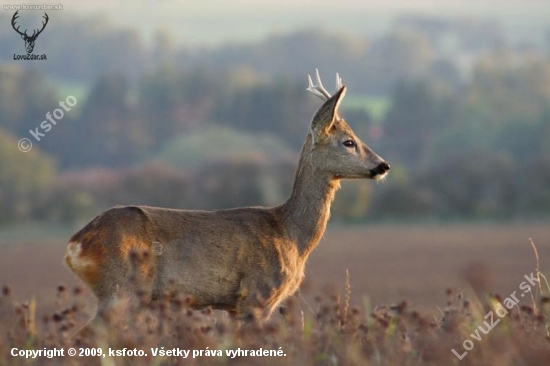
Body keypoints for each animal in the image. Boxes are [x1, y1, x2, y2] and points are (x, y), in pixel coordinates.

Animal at [64, 70, 392, 328]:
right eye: (349, 142)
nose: (383, 165)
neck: (291, 235)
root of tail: (75, 243)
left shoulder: (234, 306)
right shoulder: (257, 293)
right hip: (122, 287)